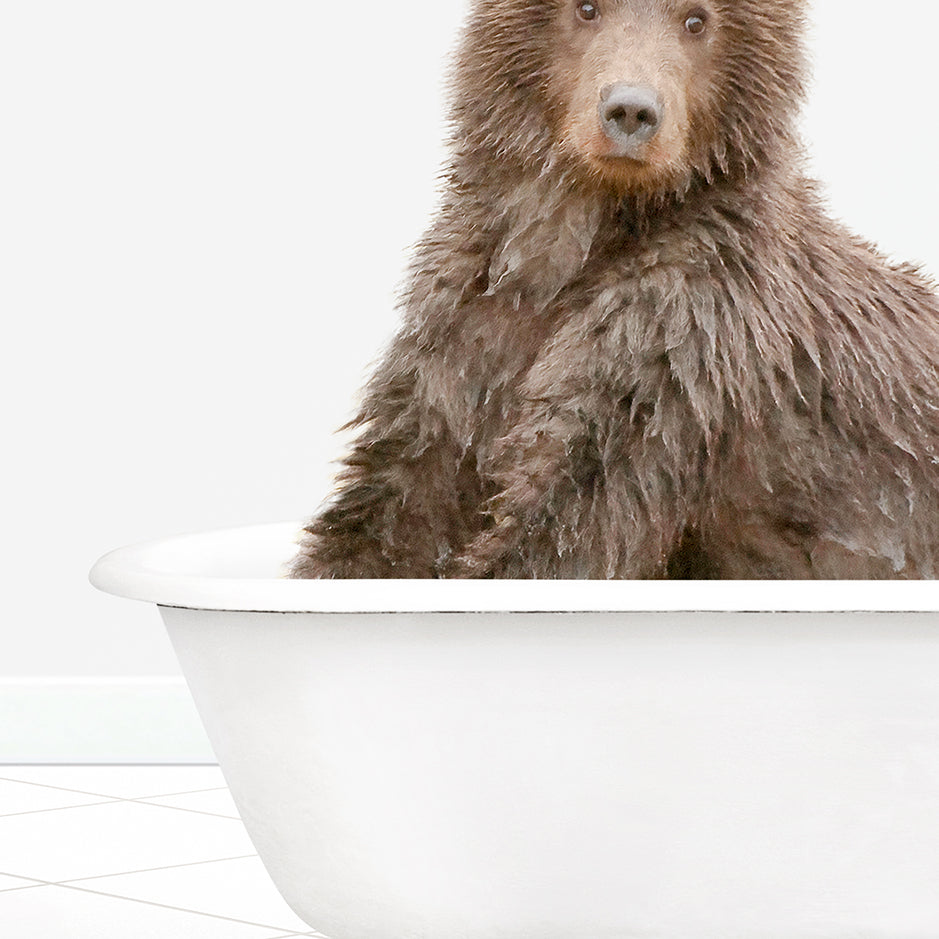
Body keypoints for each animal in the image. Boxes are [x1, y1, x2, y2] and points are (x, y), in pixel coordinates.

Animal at [290, 0, 939, 580]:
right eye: (586, 8)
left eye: (697, 19)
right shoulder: (468, 326)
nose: (630, 110)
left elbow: (570, 520)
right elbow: (399, 498)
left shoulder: (681, 337)